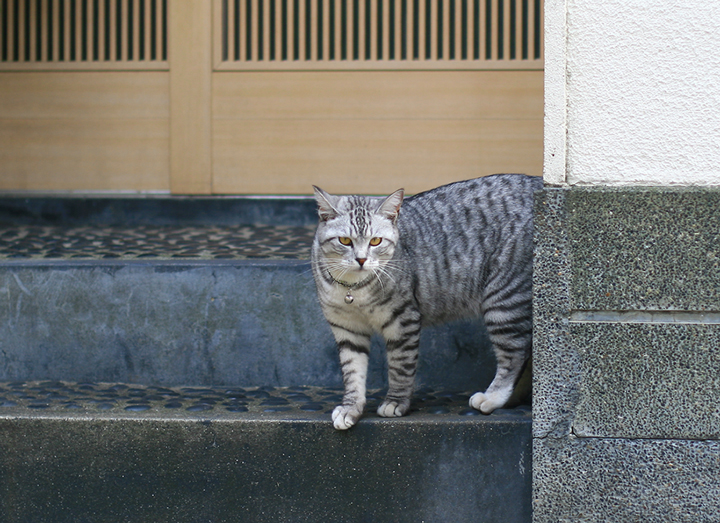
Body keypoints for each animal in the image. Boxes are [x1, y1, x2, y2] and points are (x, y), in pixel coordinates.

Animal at [310, 174, 540, 432]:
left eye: (376, 241)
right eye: (345, 240)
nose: (361, 259)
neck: (354, 290)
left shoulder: (402, 319)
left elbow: (400, 367)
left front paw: (395, 402)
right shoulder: (347, 328)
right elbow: (352, 372)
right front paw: (351, 407)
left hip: (503, 300)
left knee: (514, 356)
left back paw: (494, 397)